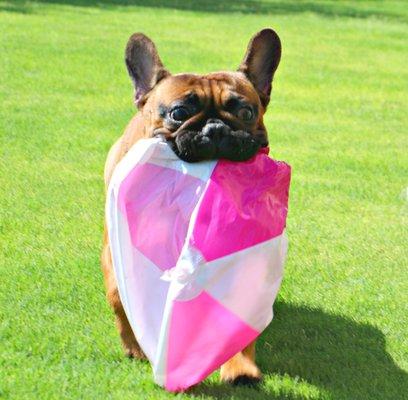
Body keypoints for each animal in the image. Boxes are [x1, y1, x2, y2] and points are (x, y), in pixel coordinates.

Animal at [101, 28, 280, 384]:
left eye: (246, 113)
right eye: (179, 113)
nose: (216, 128)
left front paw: (240, 366)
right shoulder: (116, 249)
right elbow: (118, 294)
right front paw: (135, 344)